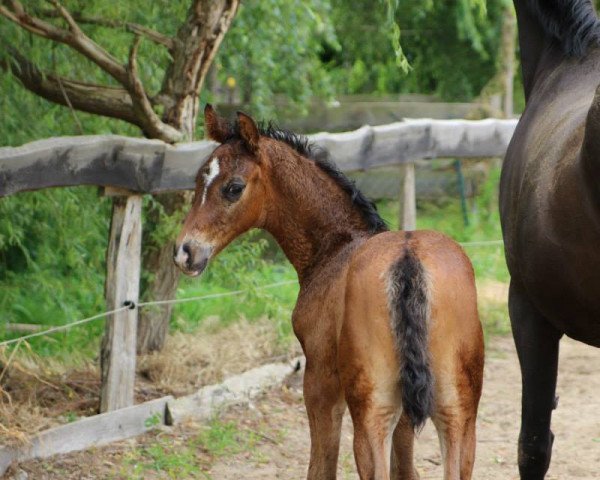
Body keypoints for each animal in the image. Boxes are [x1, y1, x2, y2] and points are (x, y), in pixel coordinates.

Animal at [173, 106, 482, 480]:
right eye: (197, 181)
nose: (185, 252)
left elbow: (321, 465)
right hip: (458, 410)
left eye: (234, 188)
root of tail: (409, 260)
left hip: (371, 410)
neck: (335, 247)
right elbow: (406, 467)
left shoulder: (320, 381)